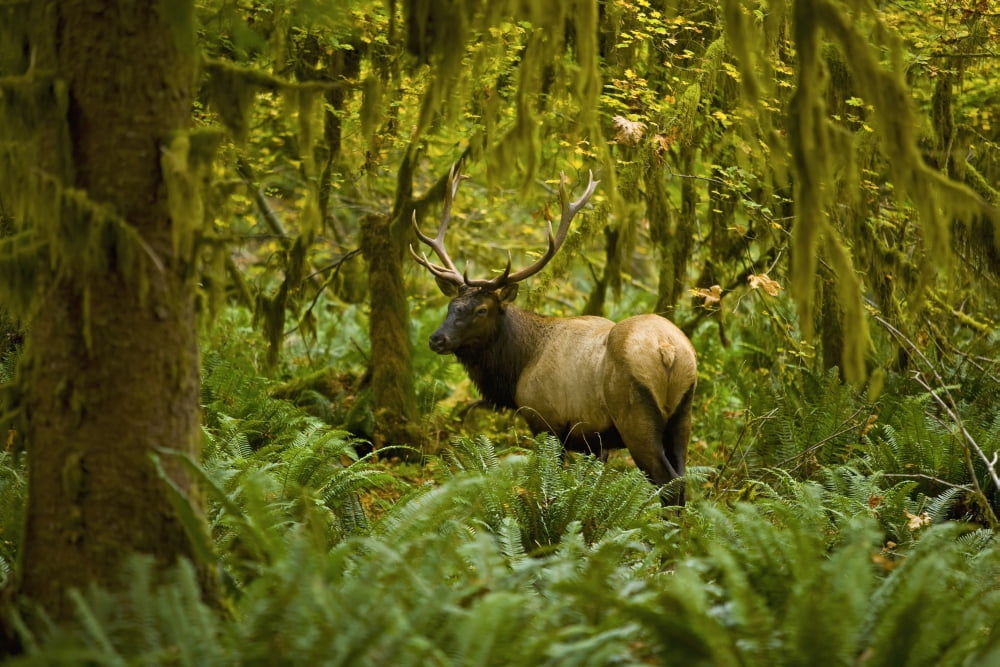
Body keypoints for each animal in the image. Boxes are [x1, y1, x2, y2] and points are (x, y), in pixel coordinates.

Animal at [410, 166, 697, 506]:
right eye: (452, 305)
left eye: (481, 309)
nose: (436, 339)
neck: (518, 367)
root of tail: (668, 350)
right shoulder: (593, 441)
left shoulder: (546, 421)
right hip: (683, 413)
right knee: (682, 481)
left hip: (636, 415)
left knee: (668, 484)